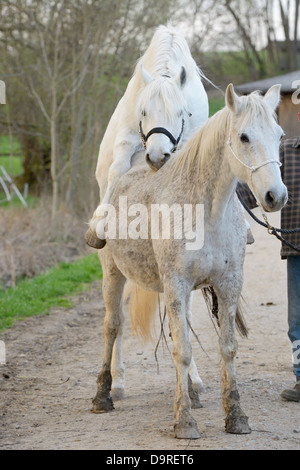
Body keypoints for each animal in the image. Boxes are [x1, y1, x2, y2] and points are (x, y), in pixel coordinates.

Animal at [85, 24, 209, 250]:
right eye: (143, 112)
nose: (157, 157)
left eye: (181, 112)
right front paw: (98, 223)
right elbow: (117, 170)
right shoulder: (126, 138)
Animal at [92, 82, 288, 438]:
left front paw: (235, 415)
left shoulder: (228, 284)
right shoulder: (176, 284)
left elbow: (226, 347)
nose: (275, 196)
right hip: (113, 275)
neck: (206, 214)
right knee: (112, 326)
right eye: (244, 137)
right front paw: (184, 420)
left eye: (279, 135)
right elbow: (181, 350)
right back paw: (105, 392)